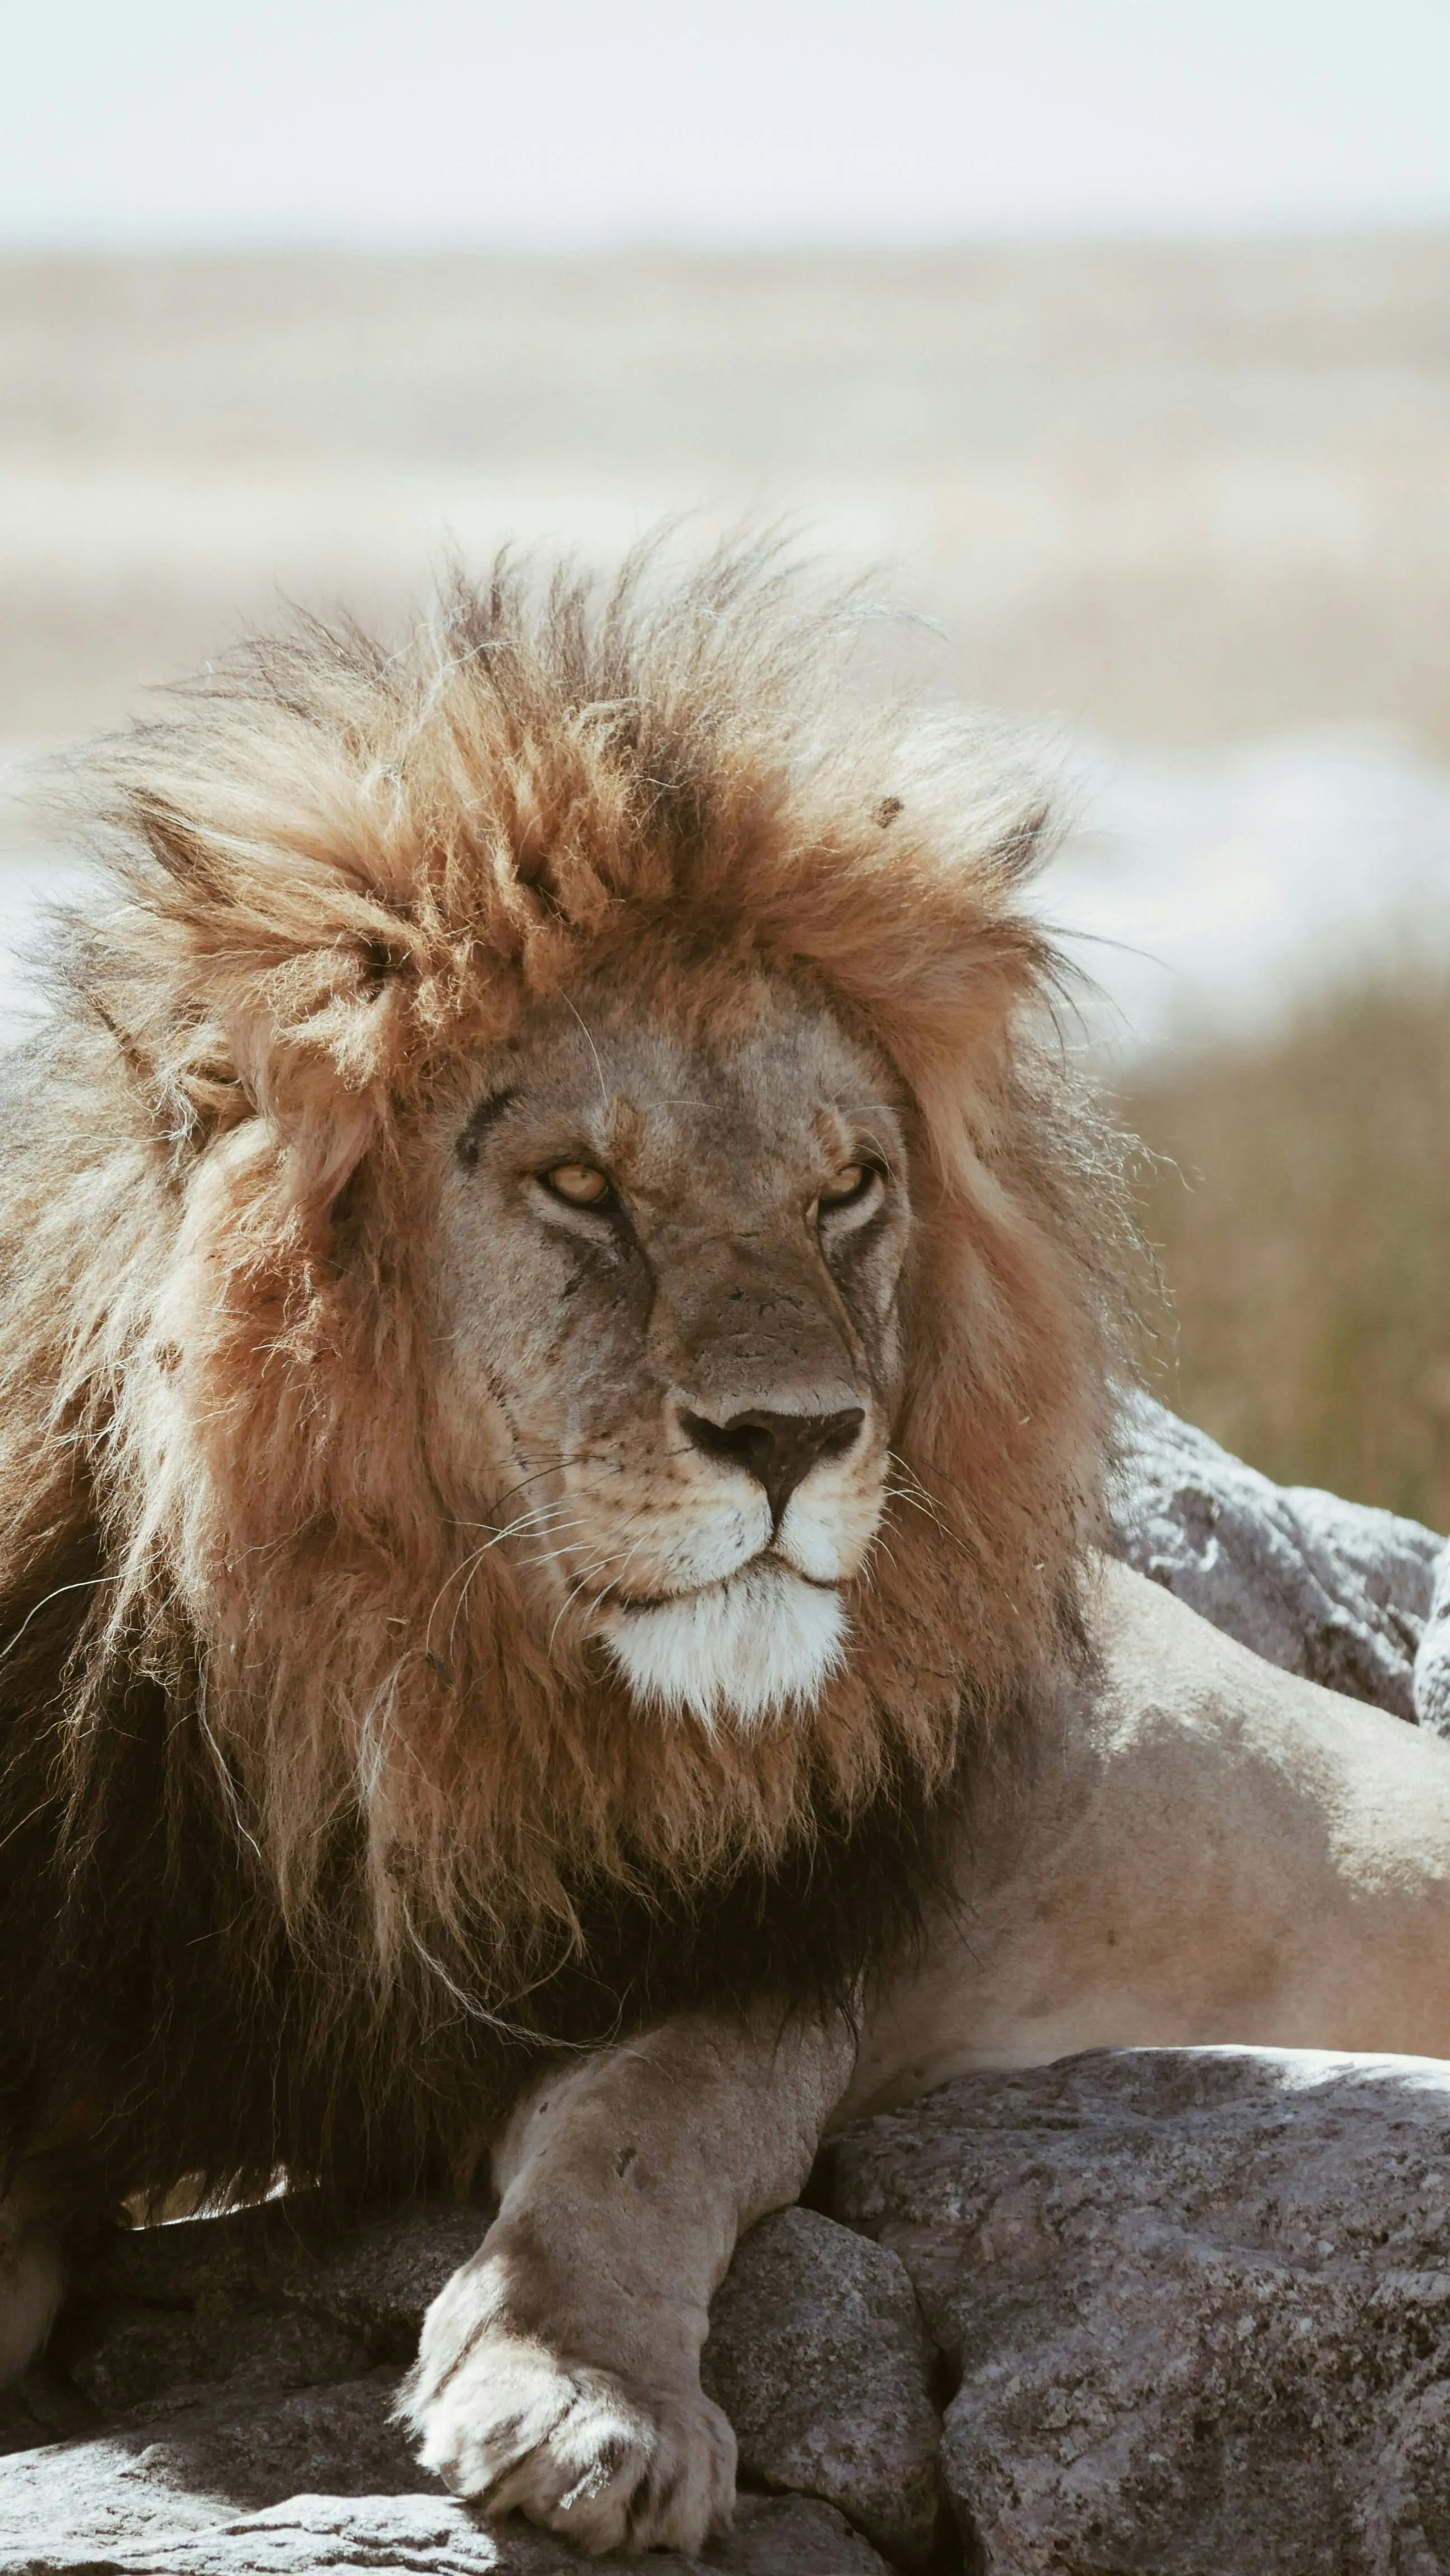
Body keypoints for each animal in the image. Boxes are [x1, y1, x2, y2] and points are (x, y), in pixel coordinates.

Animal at [3, 543, 1450, 2554]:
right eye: (580, 1189)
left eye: (846, 1189)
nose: (794, 1438)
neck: (398, 1696)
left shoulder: (761, 1959)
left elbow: (643, 2132)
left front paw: (580, 2400)